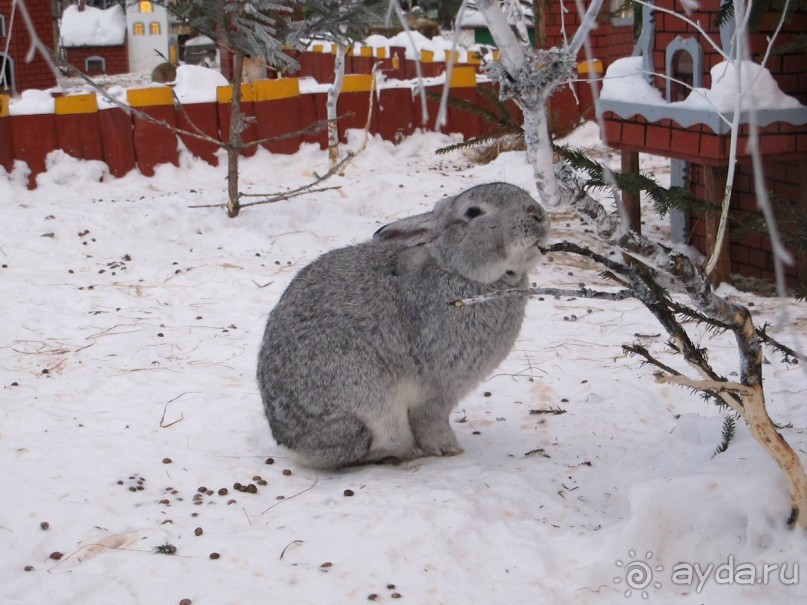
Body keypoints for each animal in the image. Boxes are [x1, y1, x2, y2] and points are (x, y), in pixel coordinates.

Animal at [258, 182, 548, 470]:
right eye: (474, 212)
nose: (537, 214)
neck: (458, 271)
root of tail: (293, 447)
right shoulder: (438, 388)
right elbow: (430, 420)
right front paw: (449, 449)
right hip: (367, 401)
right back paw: (400, 454)